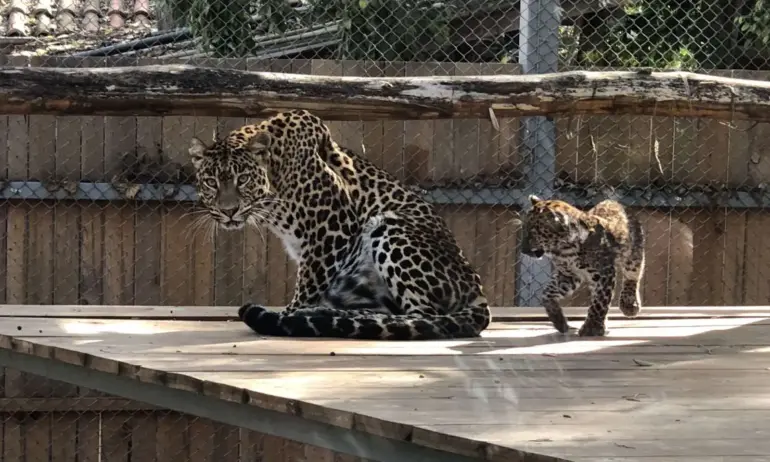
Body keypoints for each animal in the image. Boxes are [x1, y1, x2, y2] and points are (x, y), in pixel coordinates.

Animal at [187, 108, 488, 340]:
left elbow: (306, 288)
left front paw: (288, 317)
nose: (229, 211)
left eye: (243, 180)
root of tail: (478, 291)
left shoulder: (330, 232)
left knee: (424, 315)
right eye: (211, 182)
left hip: (391, 226)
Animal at [520, 193, 640, 338]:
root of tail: (613, 201)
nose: (522, 250)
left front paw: (592, 328)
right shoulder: (568, 275)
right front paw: (559, 322)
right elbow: (547, 293)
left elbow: (600, 301)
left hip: (633, 253)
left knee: (632, 276)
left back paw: (629, 305)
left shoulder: (604, 272)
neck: (563, 249)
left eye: (532, 232)